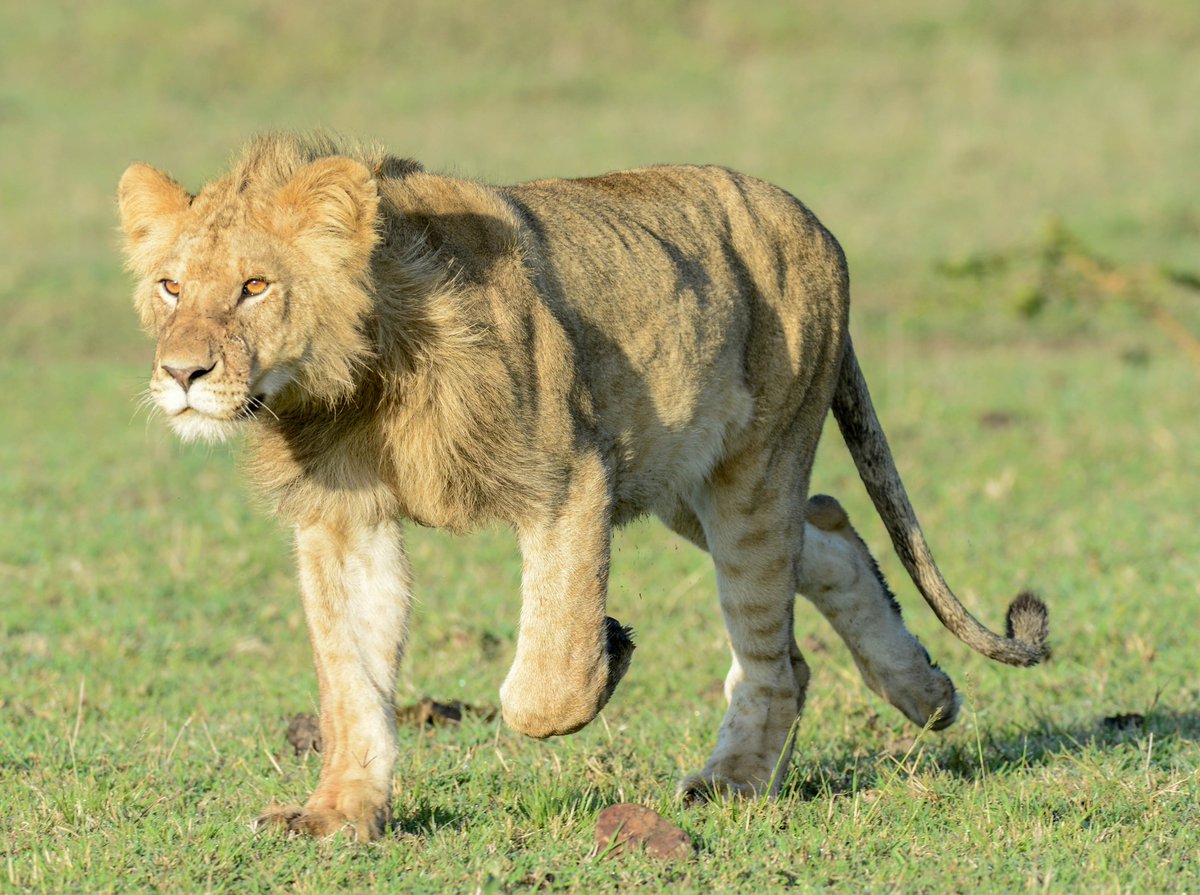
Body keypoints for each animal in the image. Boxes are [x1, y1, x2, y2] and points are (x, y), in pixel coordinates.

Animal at [118, 133, 1049, 842]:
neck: (350, 386)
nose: (183, 373)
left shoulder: (569, 475)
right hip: (686, 482)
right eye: (171, 285)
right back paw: (926, 692)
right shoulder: (342, 517)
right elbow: (350, 678)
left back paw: (734, 780)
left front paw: (610, 645)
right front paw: (338, 814)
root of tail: (812, 218)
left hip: (752, 465)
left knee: (774, 646)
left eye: (255, 286)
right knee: (824, 535)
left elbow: (543, 684)